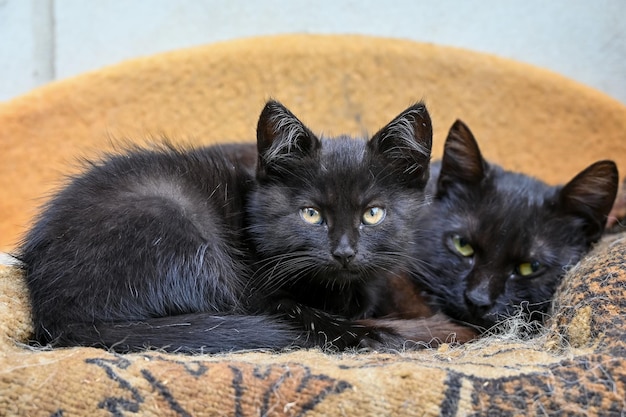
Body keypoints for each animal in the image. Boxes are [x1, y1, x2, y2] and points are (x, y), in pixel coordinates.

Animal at [18, 100, 472, 352]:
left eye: (373, 213)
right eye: (310, 214)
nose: (344, 251)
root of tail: (55, 311)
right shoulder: (261, 293)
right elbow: (308, 315)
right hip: (177, 224)